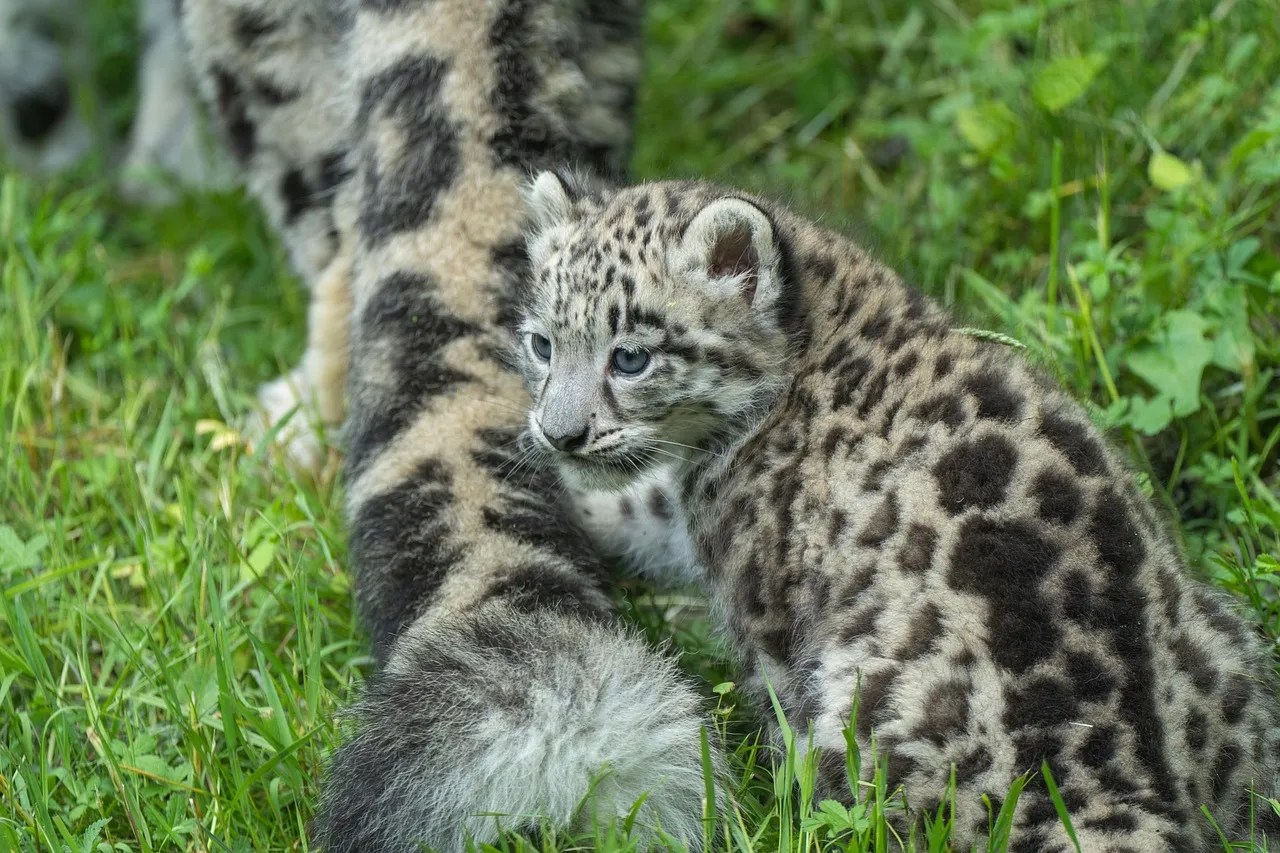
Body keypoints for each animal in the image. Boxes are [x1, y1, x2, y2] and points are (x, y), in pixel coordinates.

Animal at [513, 171, 1280, 852]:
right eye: (542, 344)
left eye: (631, 358)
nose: (559, 433)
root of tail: (1116, 788)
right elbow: (650, 505)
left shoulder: (758, 599)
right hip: (1229, 648)